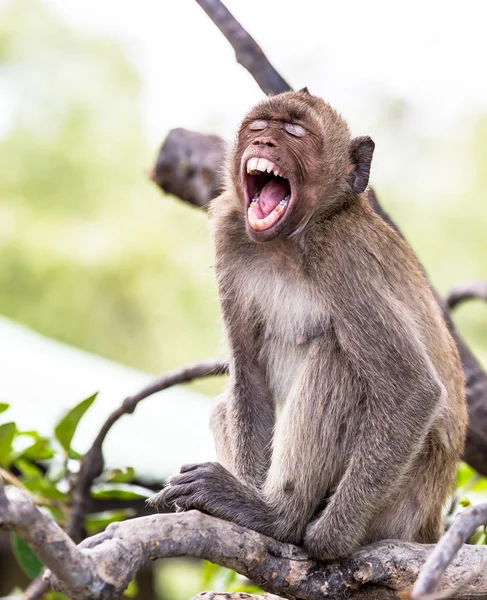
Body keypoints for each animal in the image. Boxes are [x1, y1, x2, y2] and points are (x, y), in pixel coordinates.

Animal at [150, 89, 468, 564]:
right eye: (260, 127)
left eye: (296, 132)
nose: (264, 144)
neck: (289, 241)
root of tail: (431, 522)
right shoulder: (229, 233)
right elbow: (250, 377)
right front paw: (242, 503)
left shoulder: (340, 256)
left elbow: (413, 389)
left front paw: (321, 537)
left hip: (400, 501)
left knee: (339, 356)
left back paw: (281, 515)